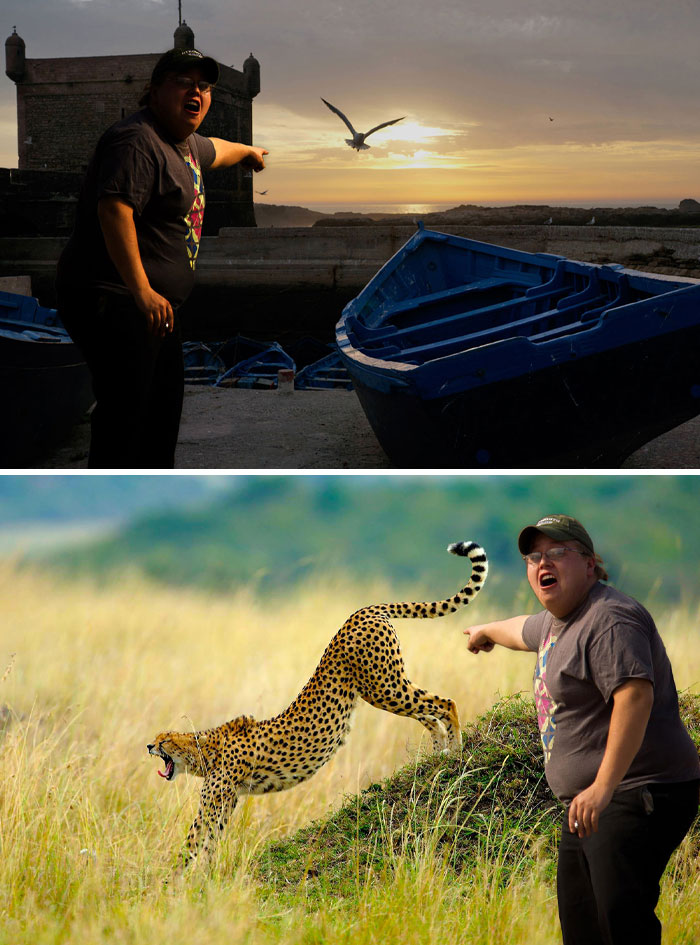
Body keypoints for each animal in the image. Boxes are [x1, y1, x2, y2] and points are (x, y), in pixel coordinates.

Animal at [147, 539, 487, 868]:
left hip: (384, 686)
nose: (149, 746)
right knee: (428, 714)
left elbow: (194, 839)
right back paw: (437, 755)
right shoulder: (227, 798)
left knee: (445, 702)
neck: (205, 748)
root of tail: (363, 610)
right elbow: (209, 839)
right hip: (384, 687)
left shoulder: (218, 795)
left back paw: (456, 749)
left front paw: (177, 878)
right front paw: (201, 872)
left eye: (163, 740)